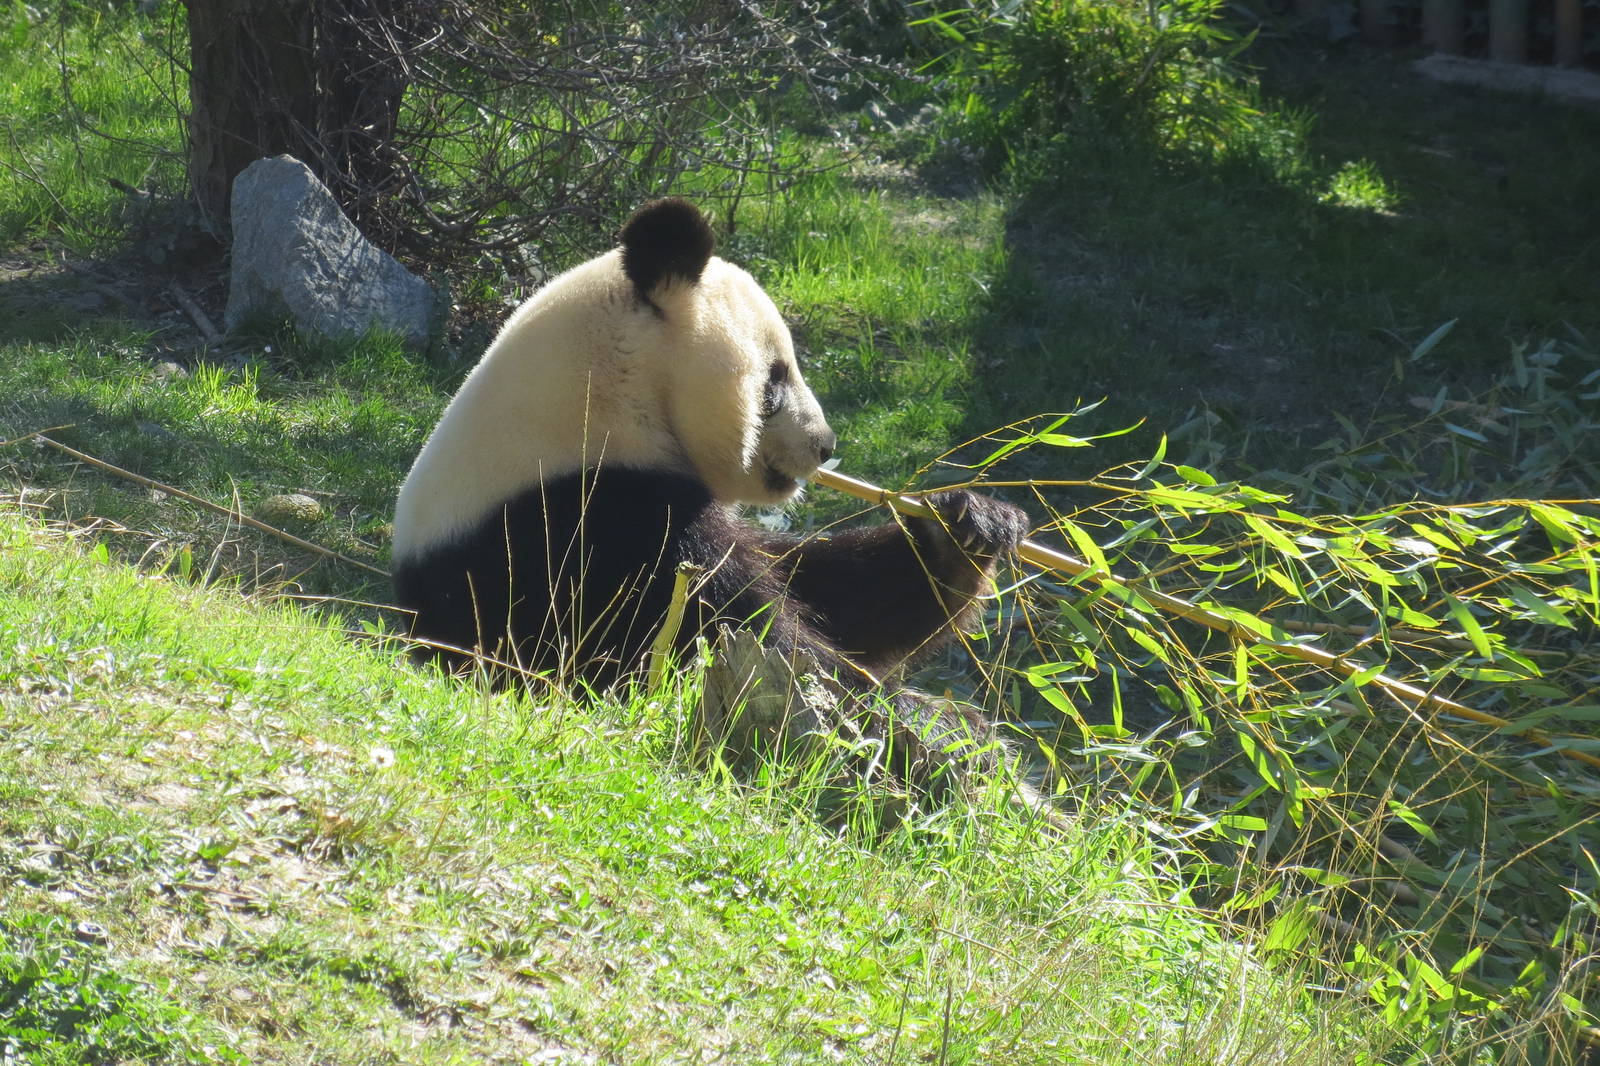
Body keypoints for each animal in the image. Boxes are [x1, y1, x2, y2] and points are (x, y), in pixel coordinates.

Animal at [391, 198, 1028, 706]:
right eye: (775, 381)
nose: (824, 445)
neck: (604, 396)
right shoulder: (591, 516)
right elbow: (718, 628)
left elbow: (824, 589)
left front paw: (966, 527)